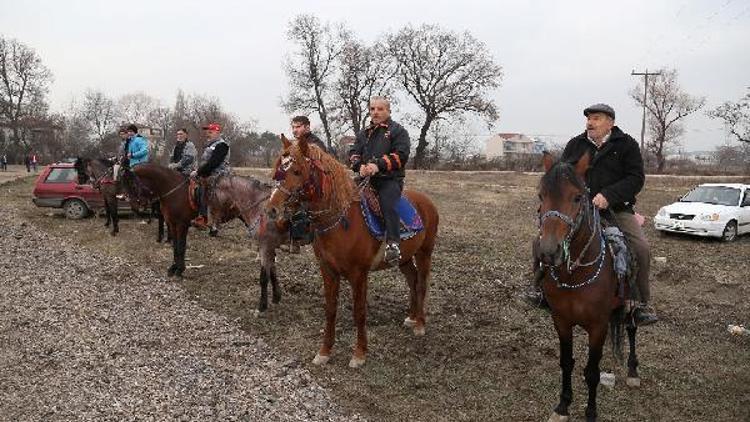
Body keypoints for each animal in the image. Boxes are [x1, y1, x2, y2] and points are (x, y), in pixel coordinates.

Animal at [268, 136, 440, 370]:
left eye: (296, 171)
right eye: (279, 169)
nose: (272, 209)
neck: (340, 219)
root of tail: (427, 203)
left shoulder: (358, 274)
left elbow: (359, 312)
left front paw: (359, 354)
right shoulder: (328, 271)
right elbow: (330, 309)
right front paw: (324, 352)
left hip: (424, 253)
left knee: (421, 284)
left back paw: (420, 324)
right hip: (404, 258)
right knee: (412, 281)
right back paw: (412, 317)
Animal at [536, 152, 644, 422]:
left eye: (577, 197)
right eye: (541, 196)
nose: (549, 252)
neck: (575, 274)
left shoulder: (598, 327)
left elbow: (592, 372)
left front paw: (591, 412)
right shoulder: (561, 321)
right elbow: (566, 362)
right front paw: (563, 406)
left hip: (631, 303)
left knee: (631, 328)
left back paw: (633, 371)